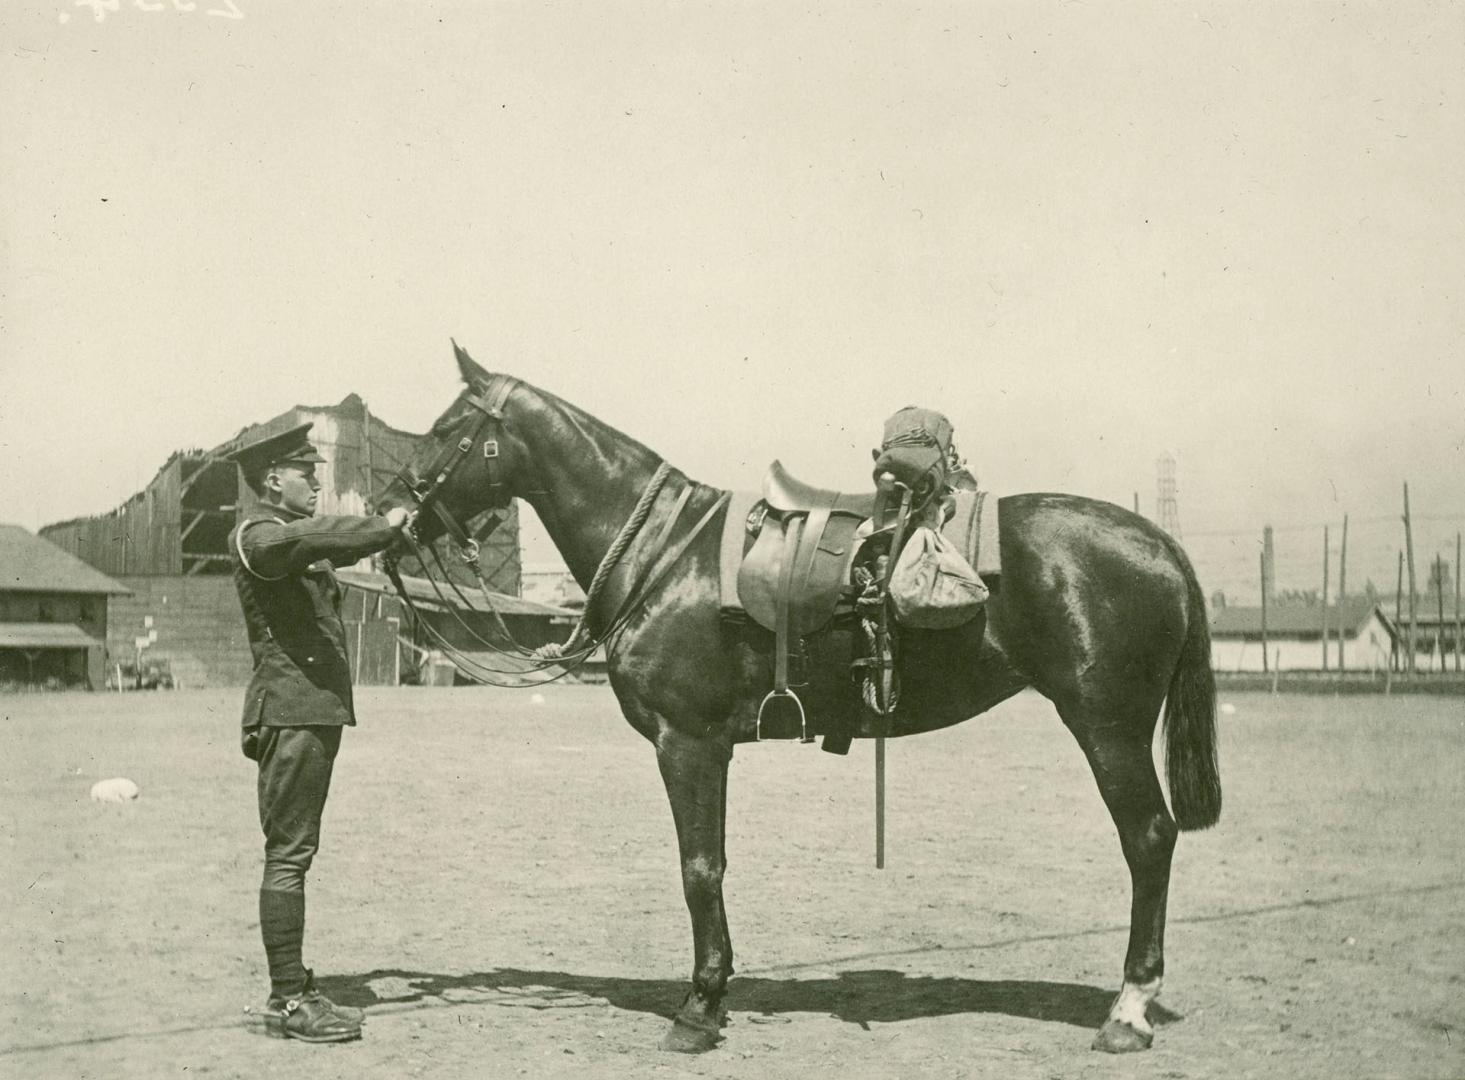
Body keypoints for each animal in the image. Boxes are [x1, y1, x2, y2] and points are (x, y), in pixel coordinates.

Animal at [377, 347, 1224, 1055]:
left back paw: (1127, 1014)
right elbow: (711, 864)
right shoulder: (704, 746)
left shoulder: (688, 742)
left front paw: (698, 1010)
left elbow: (699, 867)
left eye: (446, 430)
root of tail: (1156, 539)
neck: (667, 554)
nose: (392, 512)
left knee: (1148, 838)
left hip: (1107, 725)